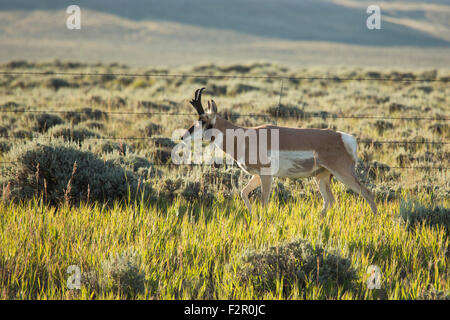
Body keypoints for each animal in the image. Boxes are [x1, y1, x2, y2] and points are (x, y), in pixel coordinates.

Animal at [181, 88, 378, 215]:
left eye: (204, 121)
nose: (182, 137)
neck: (245, 136)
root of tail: (344, 137)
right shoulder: (257, 175)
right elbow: (244, 192)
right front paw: (253, 217)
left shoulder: (267, 175)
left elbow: (264, 201)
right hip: (321, 177)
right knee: (329, 201)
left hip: (342, 173)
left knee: (367, 193)